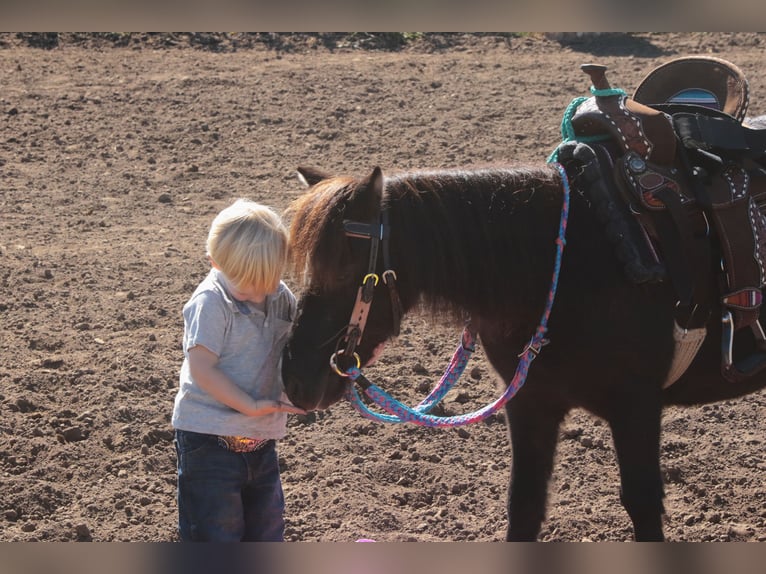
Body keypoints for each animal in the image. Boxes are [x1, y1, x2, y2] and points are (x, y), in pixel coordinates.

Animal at [280, 159, 766, 541]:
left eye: (348, 273)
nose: (295, 379)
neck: (564, 264)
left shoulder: (637, 406)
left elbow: (643, 503)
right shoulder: (530, 403)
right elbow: (525, 505)